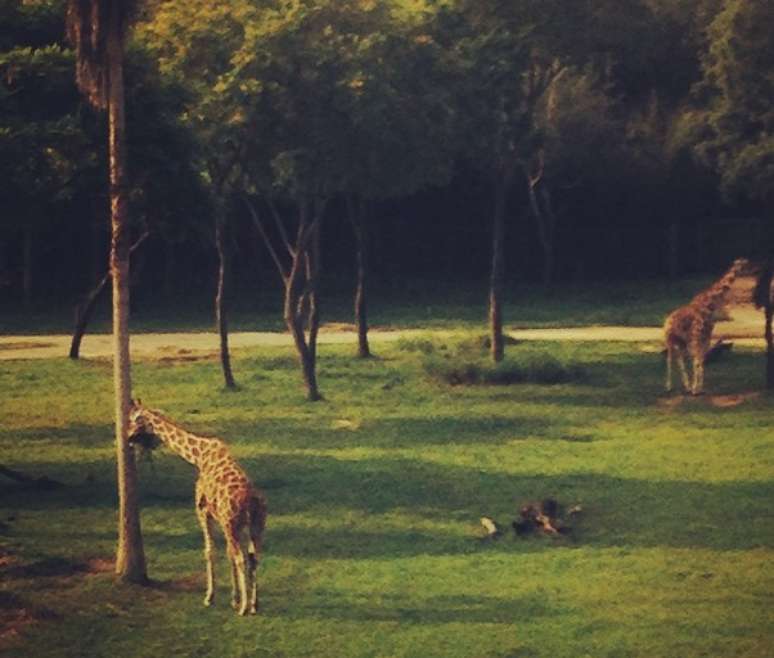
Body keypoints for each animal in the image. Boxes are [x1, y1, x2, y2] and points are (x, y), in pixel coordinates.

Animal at [129, 400, 268, 616]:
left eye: (133, 419)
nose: (127, 437)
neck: (199, 455)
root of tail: (251, 501)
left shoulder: (203, 511)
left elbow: (209, 551)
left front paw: (210, 597)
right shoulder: (220, 518)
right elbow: (227, 552)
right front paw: (234, 599)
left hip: (232, 523)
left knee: (242, 558)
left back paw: (244, 608)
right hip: (256, 525)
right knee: (254, 557)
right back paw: (254, 605)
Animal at [668, 258, 752, 392]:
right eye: (744, 264)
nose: (751, 269)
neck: (708, 305)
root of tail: (667, 320)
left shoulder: (705, 338)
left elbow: (701, 361)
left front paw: (698, 388)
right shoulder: (696, 338)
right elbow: (697, 361)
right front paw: (695, 389)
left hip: (681, 342)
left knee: (679, 360)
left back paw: (686, 385)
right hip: (671, 340)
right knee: (670, 359)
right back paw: (669, 386)